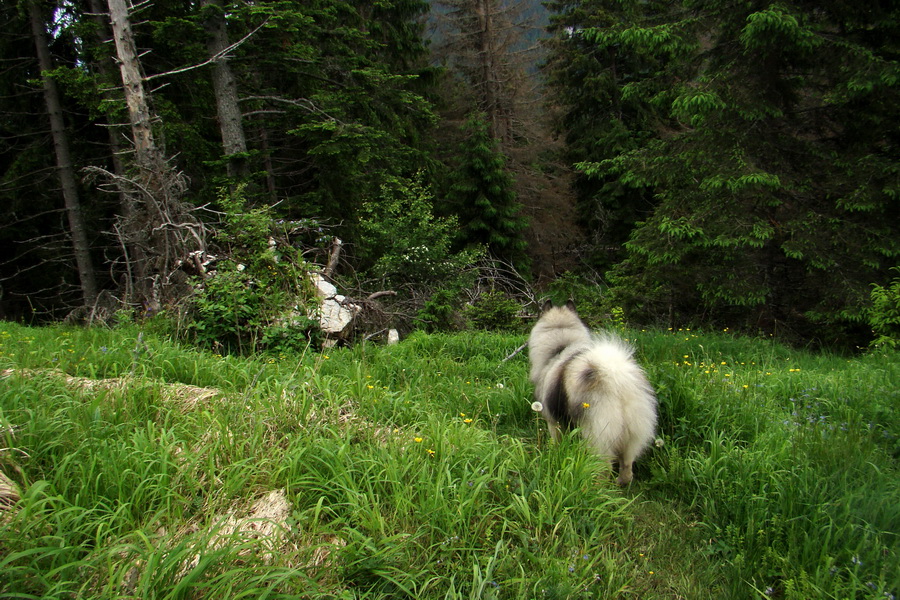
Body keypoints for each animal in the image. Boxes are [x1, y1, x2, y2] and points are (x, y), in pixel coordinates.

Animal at [528, 302, 660, 486]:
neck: (561, 346)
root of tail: (616, 379)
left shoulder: (553, 421)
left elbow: (557, 442)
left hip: (598, 436)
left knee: (604, 469)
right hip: (632, 437)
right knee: (627, 466)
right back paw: (620, 483)